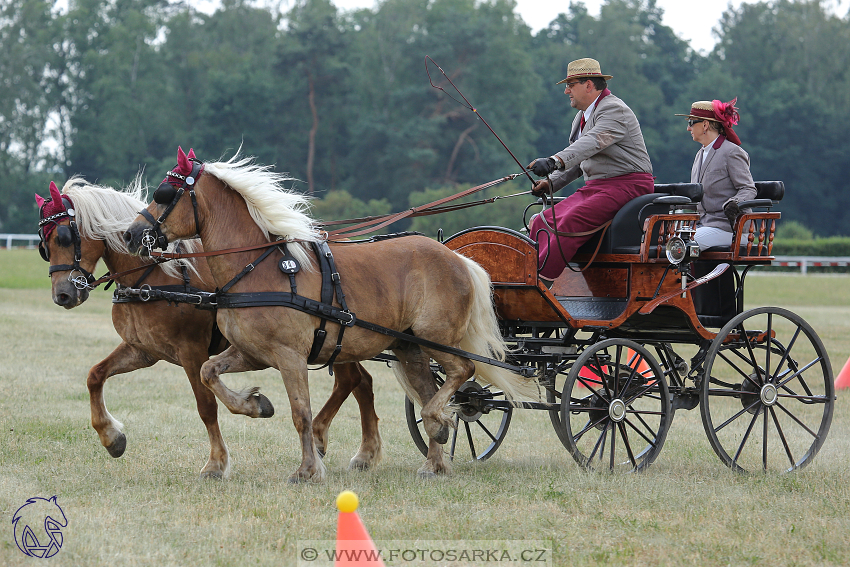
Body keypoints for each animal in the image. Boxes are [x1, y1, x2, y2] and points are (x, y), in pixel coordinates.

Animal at [36, 175, 380, 478]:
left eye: (64, 237)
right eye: (44, 246)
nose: (62, 295)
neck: (154, 277)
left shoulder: (191, 351)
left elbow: (206, 406)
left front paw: (217, 462)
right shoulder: (143, 351)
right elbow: (95, 376)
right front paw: (112, 437)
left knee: (353, 381)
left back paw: (333, 443)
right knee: (361, 382)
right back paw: (357, 450)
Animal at [122, 148, 532, 484]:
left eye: (164, 194)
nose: (131, 234)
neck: (257, 267)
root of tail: (459, 259)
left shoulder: (290, 356)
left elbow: (300, 412)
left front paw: (307, 470)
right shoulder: (250, 353)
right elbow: (210, 374)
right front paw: (254, 404)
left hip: (438, 339)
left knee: (463, 371)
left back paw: (437, 424)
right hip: (409, 348)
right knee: (429, 391)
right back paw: (435, 460)